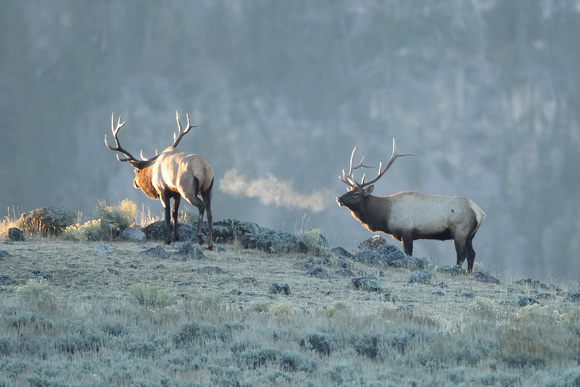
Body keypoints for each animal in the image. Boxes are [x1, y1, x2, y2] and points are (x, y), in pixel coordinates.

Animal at [105, 110, 214, 250]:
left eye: (137, 171)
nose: (134, 182)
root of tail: (204, 168)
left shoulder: (163, 191)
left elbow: (167, 214)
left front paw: (167, 239)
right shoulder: (176, 193)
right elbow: (175, 214)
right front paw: (176, 237)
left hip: (187, 189)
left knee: (201, 206)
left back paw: (199, 236)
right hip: (208, 189)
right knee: (210, 212)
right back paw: (210, 244)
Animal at [336, 140, 484, 272]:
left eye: (356, 193)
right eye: (349, 190)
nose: (339, 198)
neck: (385, 214)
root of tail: (480, 213)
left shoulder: (407, 230)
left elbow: (408, 253)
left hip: (460, 231)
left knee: (462, 254)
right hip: (470, 235)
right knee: (472, 253)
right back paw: (469, 273)